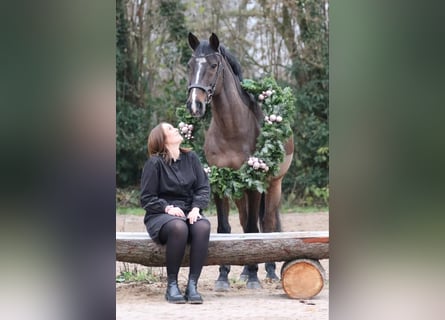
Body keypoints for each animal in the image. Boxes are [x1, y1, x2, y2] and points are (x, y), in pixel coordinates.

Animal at [185, 32, 294, 290]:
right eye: (190, 65)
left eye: (213, 66)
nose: (195, 106)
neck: (232, 130)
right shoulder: (219, 182)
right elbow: (226, 228)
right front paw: (223, 276)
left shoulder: (254, 183)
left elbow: (255, 228)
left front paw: (255, 277)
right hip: (238, 190)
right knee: (245, 222)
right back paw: (244, 272)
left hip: (272, 185)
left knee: (267, 223)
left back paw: (269, 272)